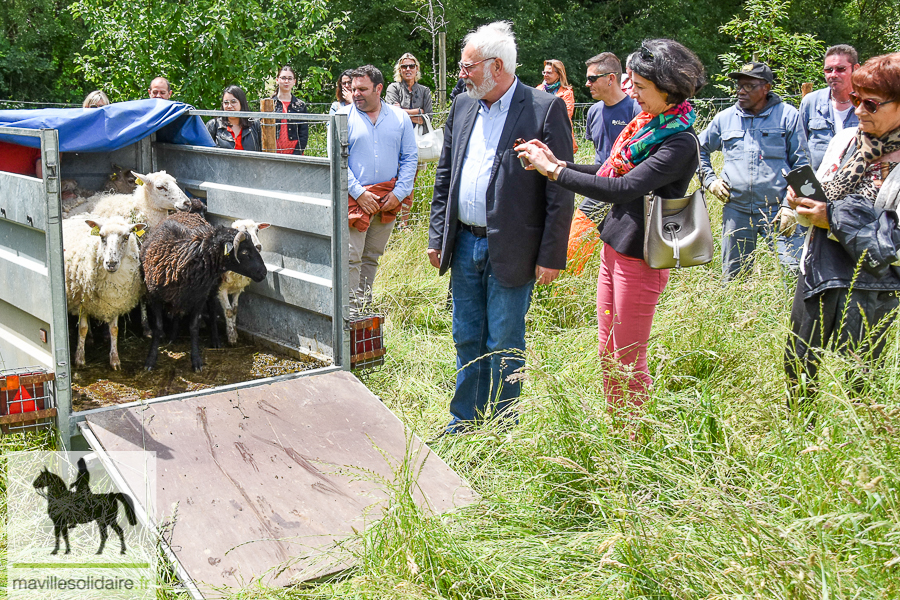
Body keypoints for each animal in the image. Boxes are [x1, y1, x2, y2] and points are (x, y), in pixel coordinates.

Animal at [62, 213, 146, 368]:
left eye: (126, 237)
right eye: (101, 236)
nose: (111, 263)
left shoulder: (115, 301)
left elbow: (114, 330)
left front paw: (115, 360)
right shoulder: (82, 300)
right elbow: (82, 329)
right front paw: (79, 359)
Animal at [141, 211, 266, 370]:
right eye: (244, 252)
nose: (264, 272)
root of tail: (184, 212)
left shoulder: (199, 297)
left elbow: (194, 327)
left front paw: (196, 361)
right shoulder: (154, 296)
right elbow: (157, 327)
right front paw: (150, 360)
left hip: (210, 290)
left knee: (212, 312)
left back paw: (215, 340)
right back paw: (173, 337)